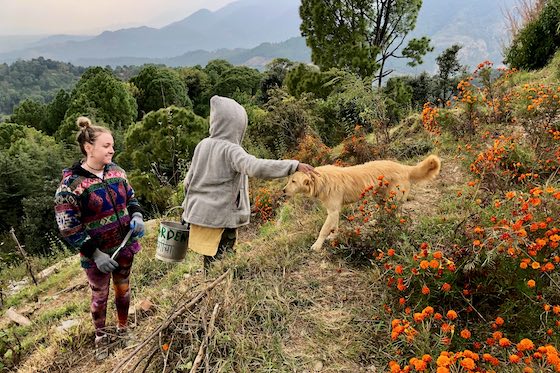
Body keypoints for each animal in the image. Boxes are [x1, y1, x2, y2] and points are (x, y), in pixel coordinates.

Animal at [284, 154, 442, 250]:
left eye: (293, 181)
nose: (283, 191)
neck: (321, 180)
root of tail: (403, 167)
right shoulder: (334, 211)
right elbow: (334, 226)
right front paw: (333, 236)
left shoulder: (333, 211)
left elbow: (323, 230)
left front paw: (317, 245)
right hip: (379, 196)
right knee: (383, 211)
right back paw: (377, 222)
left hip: (393, 199)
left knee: (396, 215)